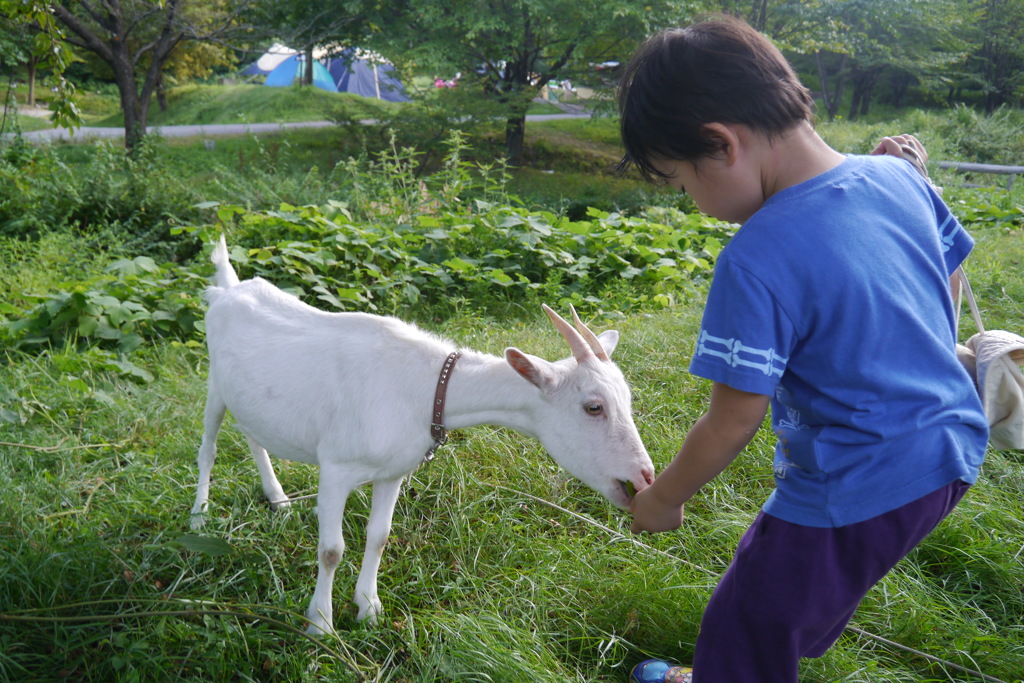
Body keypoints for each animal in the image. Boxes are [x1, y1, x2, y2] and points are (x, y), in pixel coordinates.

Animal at [192, 237, 655, 638]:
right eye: (593, 407)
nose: (645, 476)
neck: (426, 387)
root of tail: (226, 290)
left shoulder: (393, 471)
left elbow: (379, 536)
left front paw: (368, 608)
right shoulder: (336, 468)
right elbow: (331, 550)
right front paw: (320, 625)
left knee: (253, 435)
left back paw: (278, 499)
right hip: (214, 383)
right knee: (208, 448)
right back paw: (199, 515)